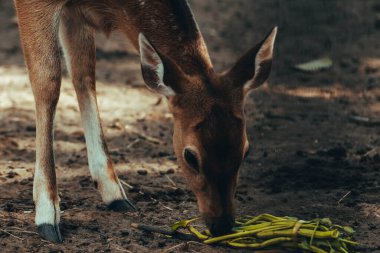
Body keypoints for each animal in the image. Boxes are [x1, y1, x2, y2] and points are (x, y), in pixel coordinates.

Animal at [13, 0, 278, 243]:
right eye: (190, 156)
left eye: (245, 150)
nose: (222, 225)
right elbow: (48, 81)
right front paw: (48, 216)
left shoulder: (75, 12)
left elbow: (84, 74)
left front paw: (115, 194)